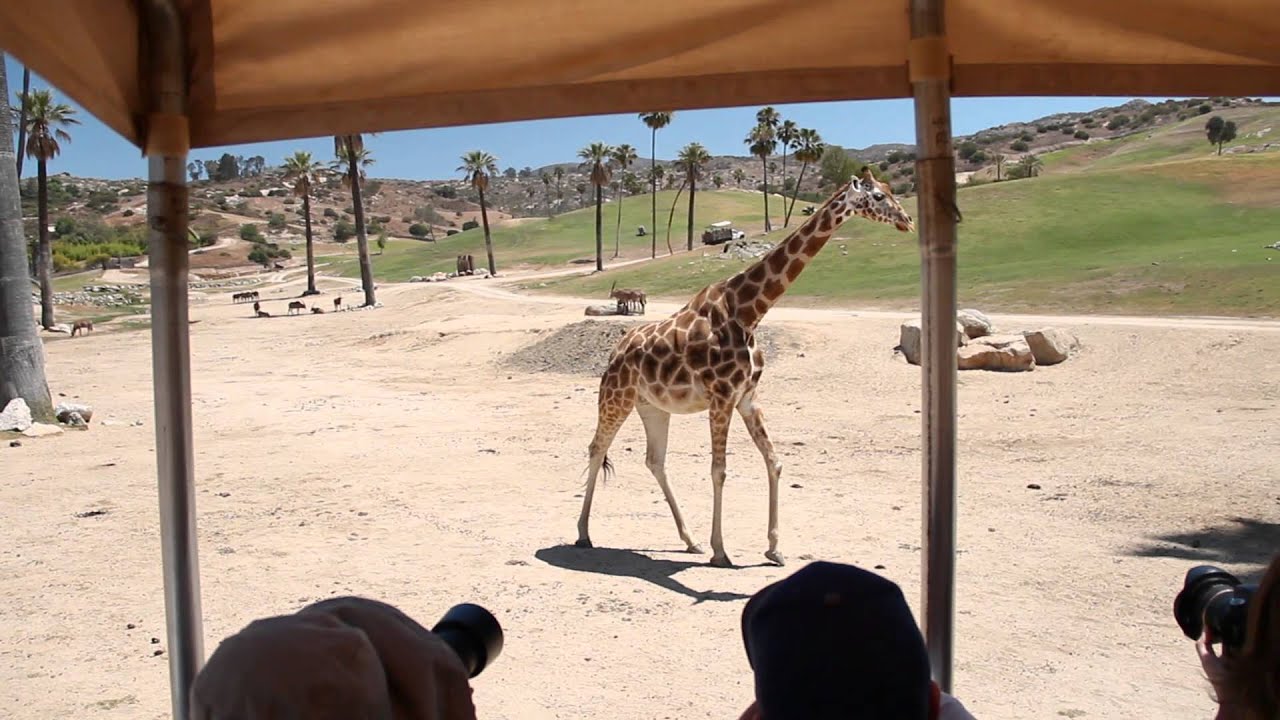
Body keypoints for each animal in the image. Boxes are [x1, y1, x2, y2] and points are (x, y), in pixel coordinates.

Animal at [574, 175, 916, 568]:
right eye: (877, 196)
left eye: (890, 192)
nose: (908, 220)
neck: (749, 311)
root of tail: (615, 350)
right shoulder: (722, 397)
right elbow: (719, 470)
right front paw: (721, 550)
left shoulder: (748, 397)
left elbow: (774, 461)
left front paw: (774, 548)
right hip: (616, 397)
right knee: (596, 448)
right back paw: (583, 533)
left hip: (653, 407)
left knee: (655, 460)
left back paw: (690, 540)